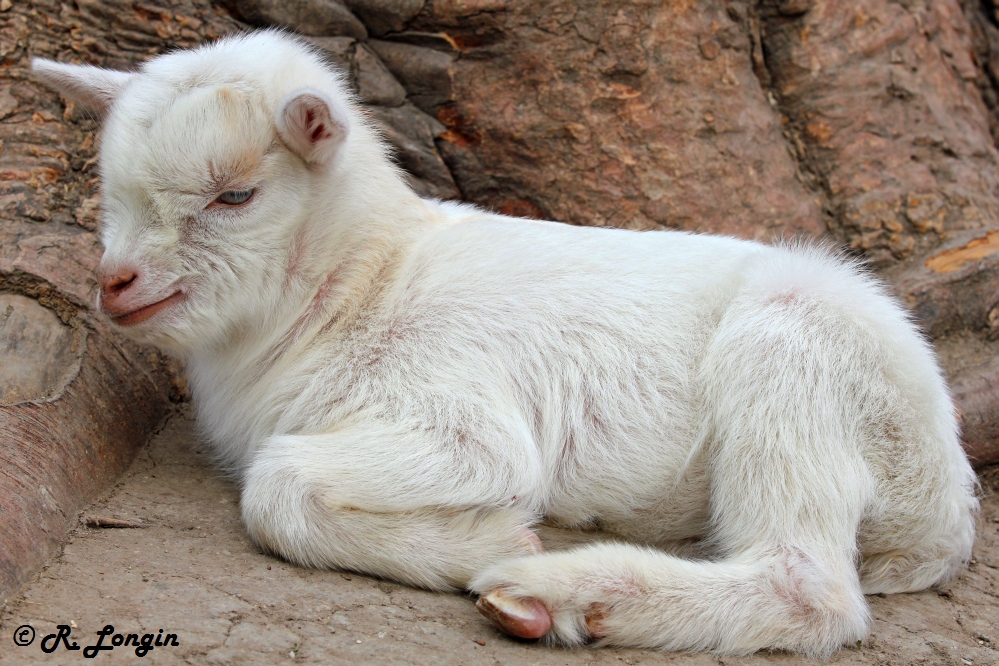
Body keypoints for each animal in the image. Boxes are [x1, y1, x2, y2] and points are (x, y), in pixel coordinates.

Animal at [37, 29, 976, 652]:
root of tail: (946, 509)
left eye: (235, 195)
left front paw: (491, 542)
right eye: (111, 186)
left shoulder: (461, 422)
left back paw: (553, 593)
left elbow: (275, 487)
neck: (364, 282)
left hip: (796, 353)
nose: (115, 282)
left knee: (809, 588)